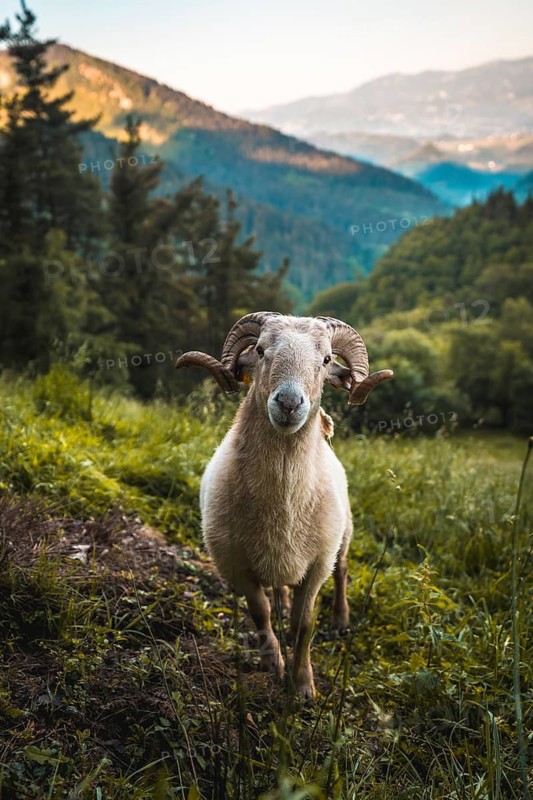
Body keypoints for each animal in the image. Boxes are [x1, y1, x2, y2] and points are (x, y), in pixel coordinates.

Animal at [176, 312, 392, 698]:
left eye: (326, 360)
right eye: (261, 350)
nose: (289, 404)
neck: (285, 501)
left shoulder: (318, 565)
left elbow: (305, 623)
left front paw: (303, 685)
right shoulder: (235, 565)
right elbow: (260, 612)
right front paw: (273, 663)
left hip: (344, 536)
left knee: (343, 571)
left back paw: (340, 619)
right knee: (280, 591)